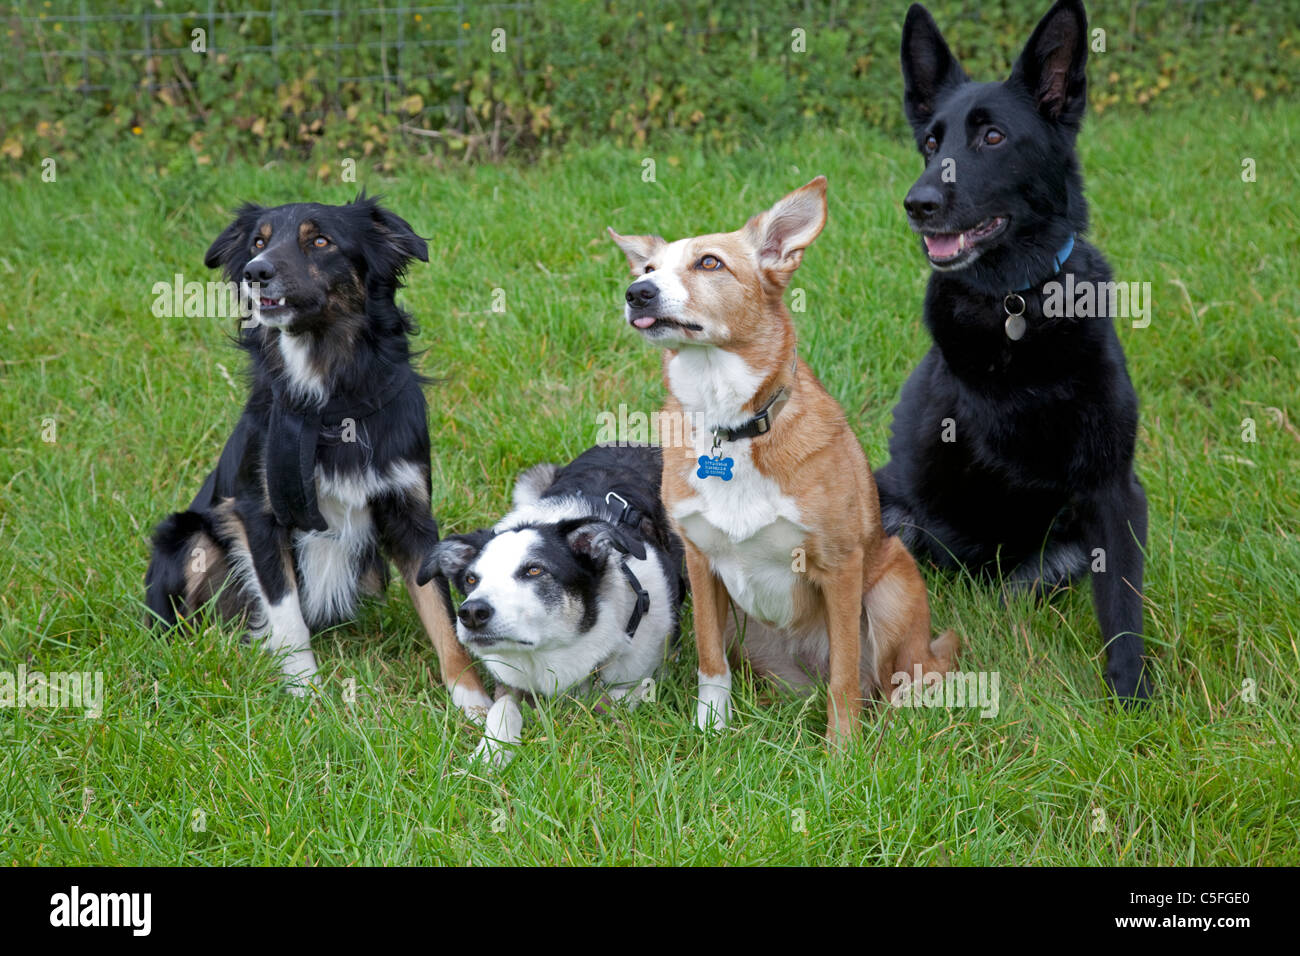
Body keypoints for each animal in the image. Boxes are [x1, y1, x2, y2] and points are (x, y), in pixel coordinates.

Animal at [146, 197, 491, 723]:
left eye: (321, 241)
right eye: (259, 242)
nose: (256, 272)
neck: (331, 399)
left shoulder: (410, 513)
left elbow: (443, 615)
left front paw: (474, 702)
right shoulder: (257, 512)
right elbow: (286, 612)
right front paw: (305, 695)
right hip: (188, 538)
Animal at [605, 179, 956, 749]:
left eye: (709, 262)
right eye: (648, 269)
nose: (638, 294)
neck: (730, 427)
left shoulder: (840, 567)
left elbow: (844, 677)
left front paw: (843, 751)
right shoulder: (700, 563)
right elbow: (710, 661)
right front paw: (711, 727)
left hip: (893, 587)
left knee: (893, 682)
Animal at [878, 0, 1154, 702]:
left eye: (993, 138)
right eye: (931, 143)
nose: (917, 203)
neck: (1015, 304)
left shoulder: (1114, 489)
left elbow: (1123, 603)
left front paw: (1134, 700)